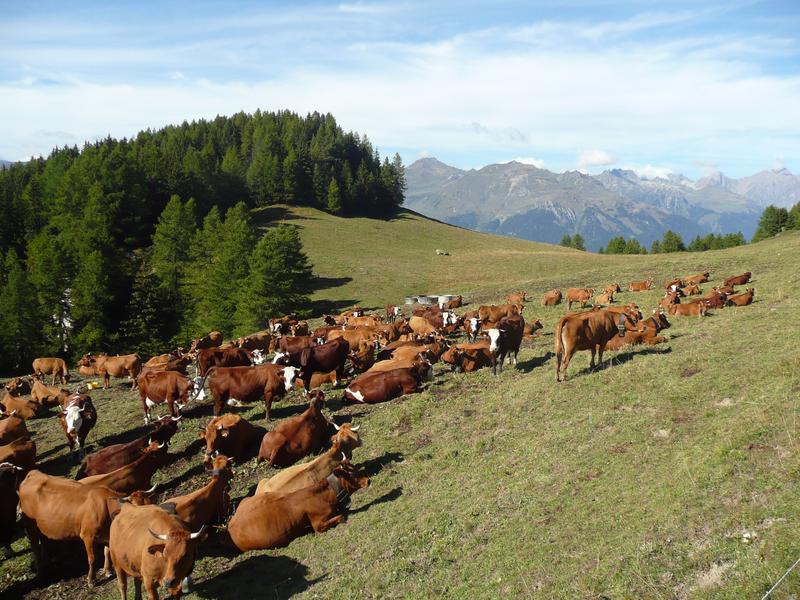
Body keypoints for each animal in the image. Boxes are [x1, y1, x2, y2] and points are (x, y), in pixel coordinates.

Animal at [20, 470, 155, 586]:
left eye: (150, 503)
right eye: (138, 508)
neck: (107, 507)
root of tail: (33, 473)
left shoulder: (107, 536)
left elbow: (107, 552)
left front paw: (107, 571)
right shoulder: (87, 536)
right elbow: (92, 559)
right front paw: (91, 580)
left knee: (44, 541)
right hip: (29, 525)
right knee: (35, 546)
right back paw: (41, 571)